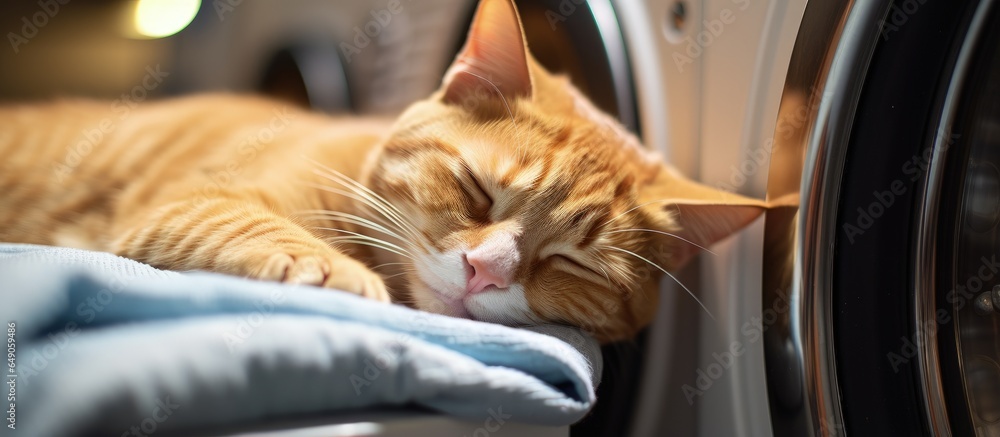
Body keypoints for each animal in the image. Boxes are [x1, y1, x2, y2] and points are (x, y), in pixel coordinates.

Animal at [0, 0, 764, 342]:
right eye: (476, 191)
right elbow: (264, 229)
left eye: (572, 264)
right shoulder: (193, 201)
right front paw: (337, 272)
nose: (485, 272)